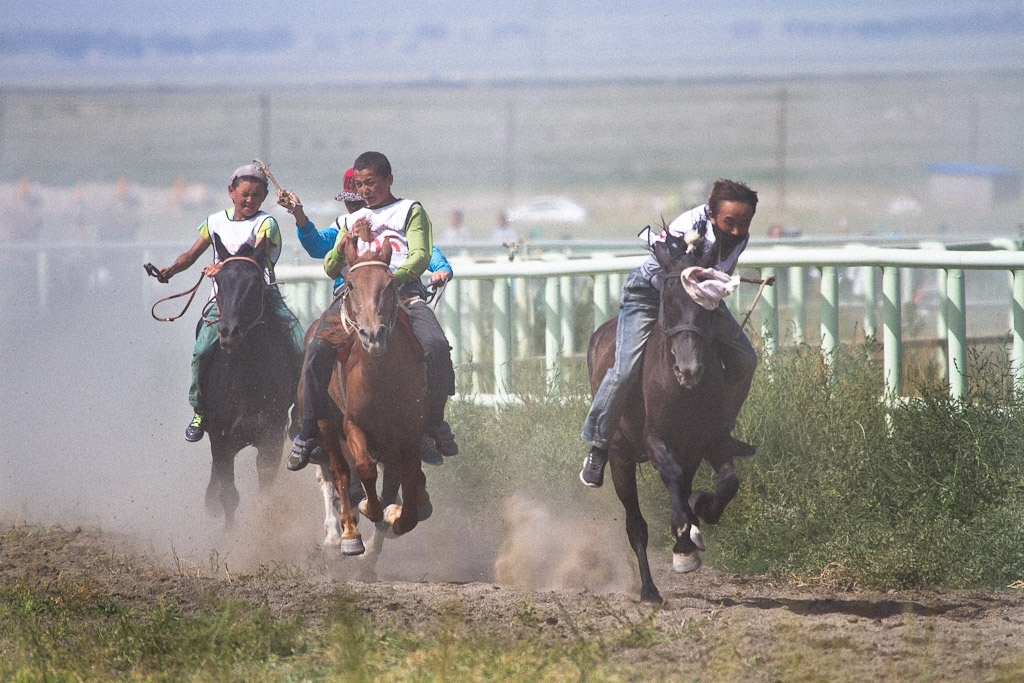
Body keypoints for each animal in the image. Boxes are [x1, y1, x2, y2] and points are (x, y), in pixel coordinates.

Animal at [201, 235, 299, 528]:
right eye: (220, 281)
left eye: (254, 284)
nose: (228, 332)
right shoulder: (221, 437)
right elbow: (228, 494)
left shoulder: (271, 437)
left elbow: (265, 491)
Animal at [307, 232, 428, 557]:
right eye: (350, 284)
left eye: (390, 283)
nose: (373, 335)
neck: (380, 378)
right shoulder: (353, 424)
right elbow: (363, 469)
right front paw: (369, 509)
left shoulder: (409, 430)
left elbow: (410, 476)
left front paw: (400, 517)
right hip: (326, 424)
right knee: (339, 471)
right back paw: (348, 534)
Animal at [589, 233, 741, 602]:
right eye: (668, 301)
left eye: (707, 306)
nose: (689, 369)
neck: (683, 392)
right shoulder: (654, 441)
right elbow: (670, 478)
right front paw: (684, 544)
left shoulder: (707, 442)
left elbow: (727, 482)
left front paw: (702, 512)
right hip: (620, 458)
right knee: (635, 525)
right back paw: (649, 589)